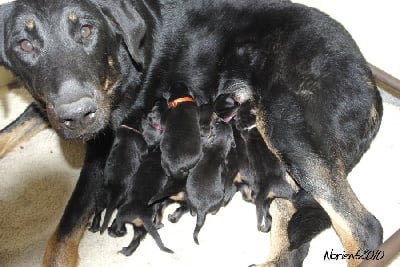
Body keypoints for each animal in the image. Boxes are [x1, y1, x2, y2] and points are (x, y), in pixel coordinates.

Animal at [0, 0, 382, 267]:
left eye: (86, 30)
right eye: (24, 44)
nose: (77, 115)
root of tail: (369, 78)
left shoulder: (101, 152)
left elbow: (60, 239)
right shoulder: (45, 106)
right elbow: (10, 130)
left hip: (288, 128)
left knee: (364, 231)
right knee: (291, 231)